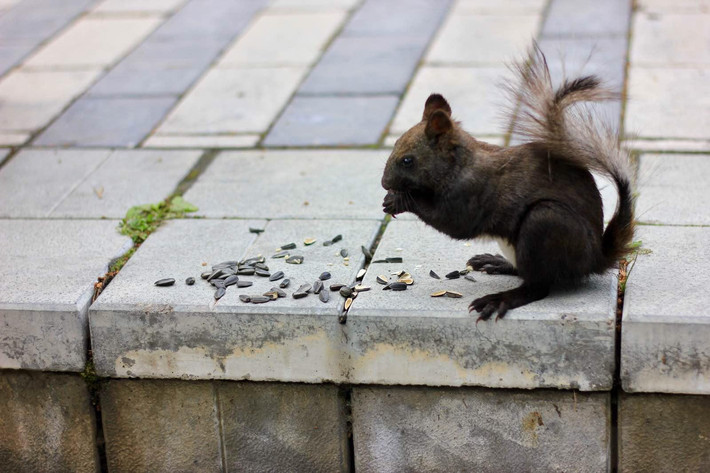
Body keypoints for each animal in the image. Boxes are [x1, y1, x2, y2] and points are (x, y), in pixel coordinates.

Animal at [384, 46, 640, 320]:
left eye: (408, 160)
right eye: (396, 142)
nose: (384, 182)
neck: (461, 164)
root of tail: (595, 259)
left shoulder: (469, 194)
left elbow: (453, 223)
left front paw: (399, 201)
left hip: (545, 224)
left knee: (537, 286)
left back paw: (499, 299)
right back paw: (496, 262)